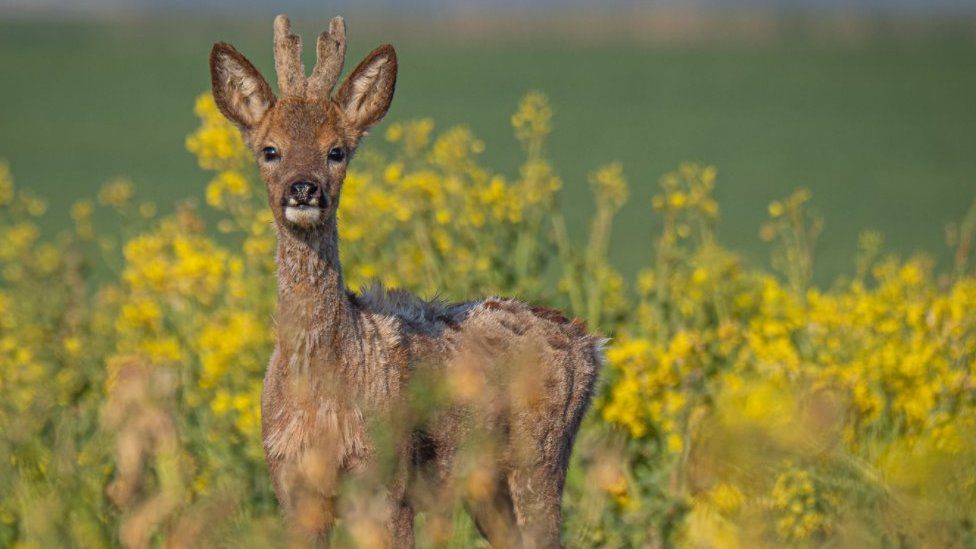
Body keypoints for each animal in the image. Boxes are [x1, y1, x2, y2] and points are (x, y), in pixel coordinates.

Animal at [210, 13, 600, 548]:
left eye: (337, 151)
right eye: (270, 150)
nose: (303, 189)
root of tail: (589, 343)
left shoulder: (388, 482)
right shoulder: (291, 486)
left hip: (540, 457)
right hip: (488, 488)